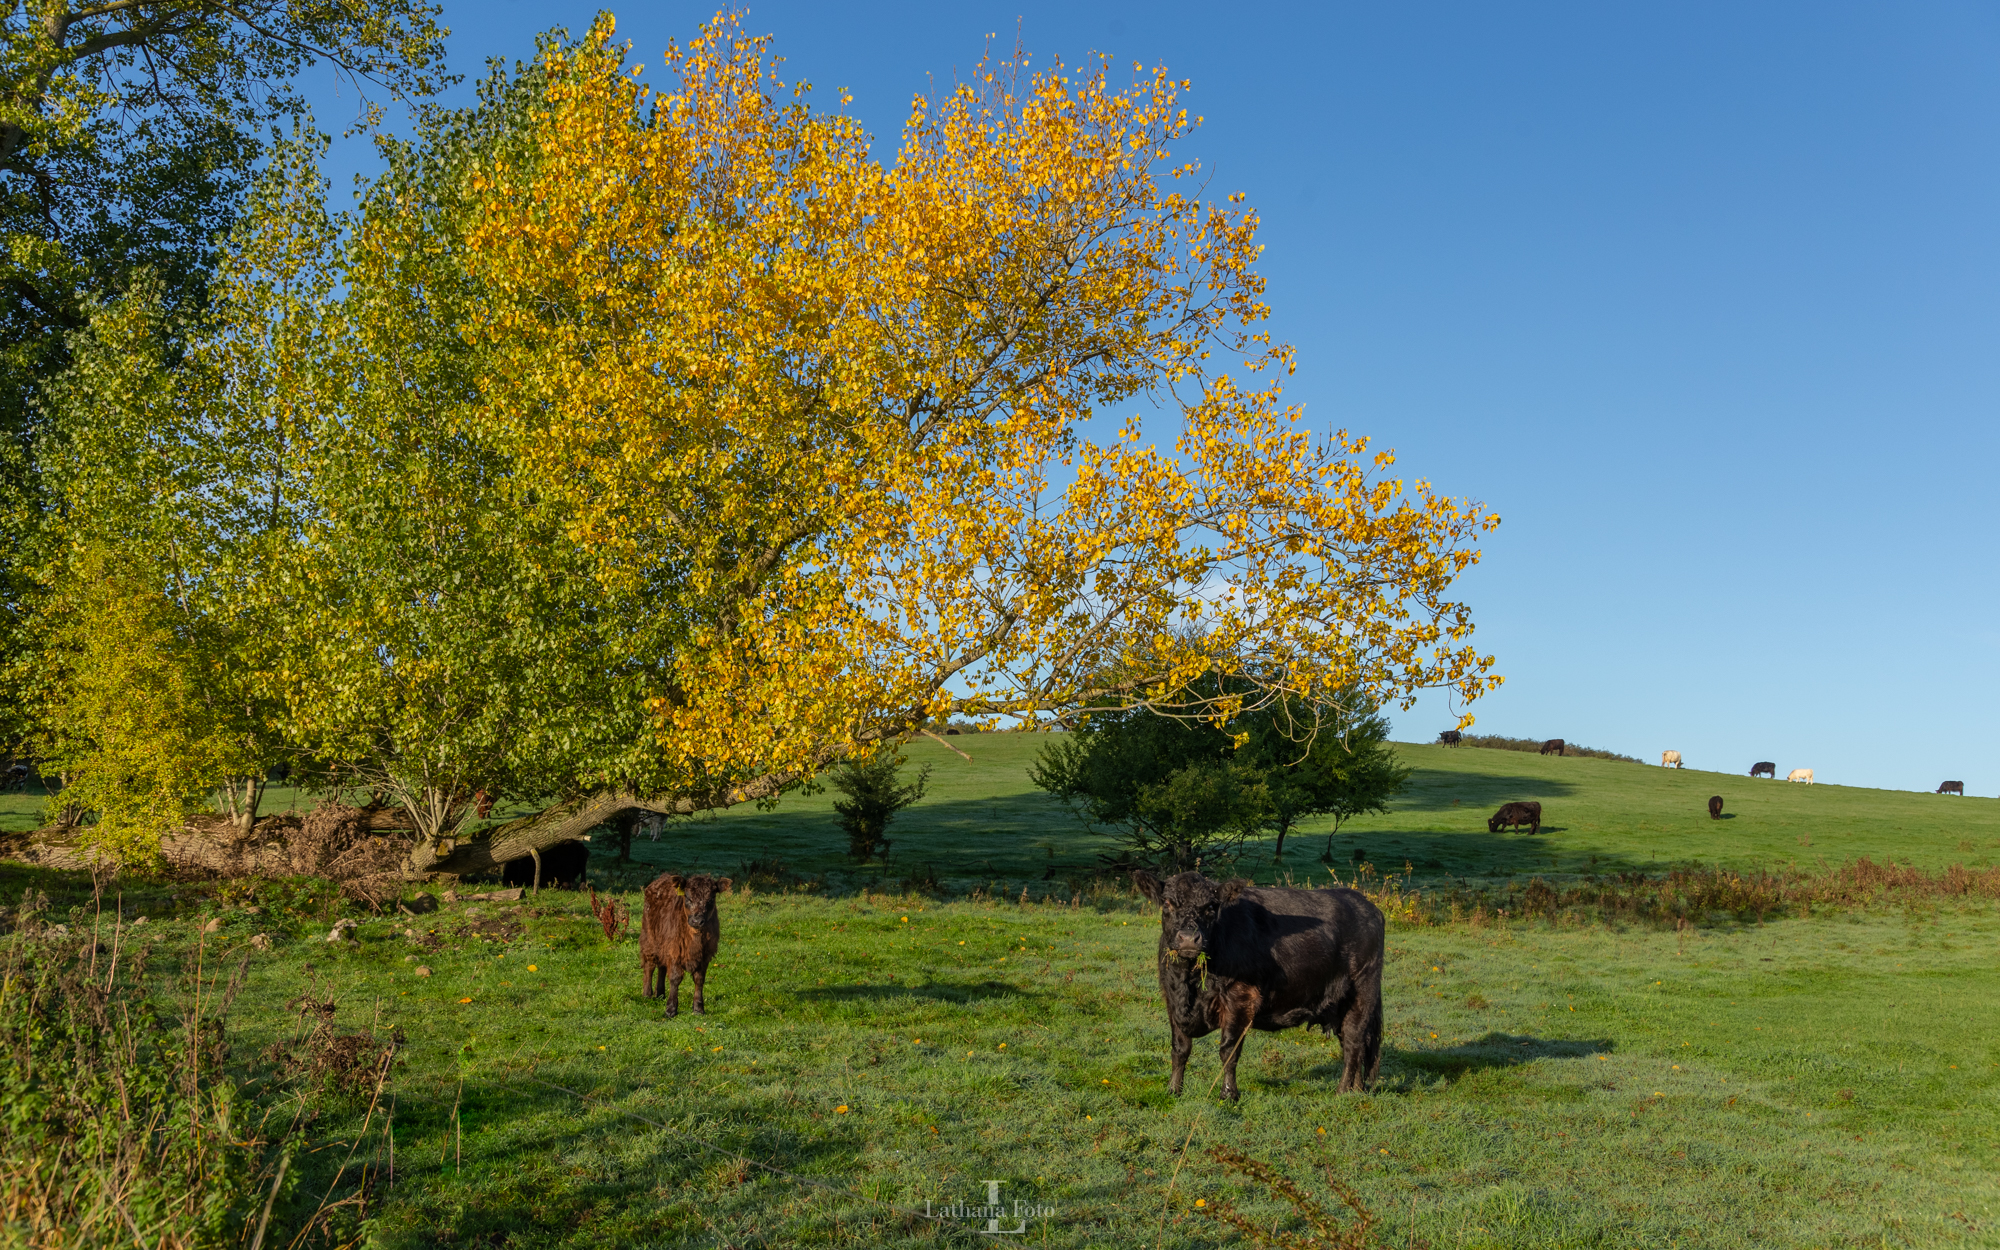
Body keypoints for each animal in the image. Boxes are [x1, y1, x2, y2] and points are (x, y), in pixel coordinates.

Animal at [640, 868, 736, 1016]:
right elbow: (675, 978)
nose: (697, 921)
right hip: (650, 938)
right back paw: (647, 994)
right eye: (688, 897)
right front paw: (671, 1009)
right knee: (650, 965)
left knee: (662, 966)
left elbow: (699, 979)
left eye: (711, 899)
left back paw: (660, 994)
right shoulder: (675, 950)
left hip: (663, 944)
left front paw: (698, 1008)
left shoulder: (704, 955)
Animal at [1136, 872, 1384, 1096]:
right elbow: (1180, 1049)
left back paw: (1342, 1092)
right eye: (1167, 903)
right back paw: (1356, 1090)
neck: (1190, 983)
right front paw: (1173, 1090)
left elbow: (1228, 1051)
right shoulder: (1172, 999)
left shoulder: (1240, 997)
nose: (1189, 938)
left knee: (1353, 1041)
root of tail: (1366, 905)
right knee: (1355, 1044)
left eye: (1211, 907)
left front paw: (1228, 1094)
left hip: (1362, 992)